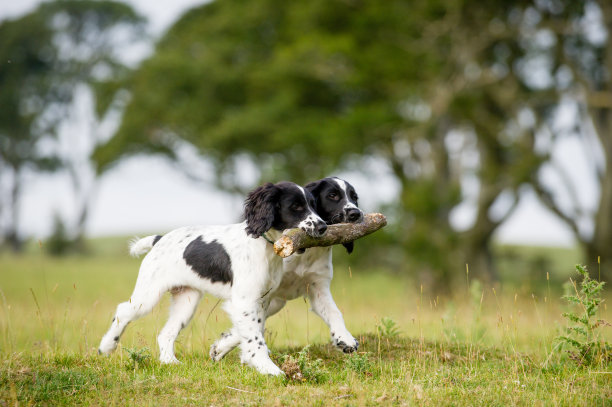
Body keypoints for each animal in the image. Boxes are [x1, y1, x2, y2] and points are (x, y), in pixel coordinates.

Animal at [98, 182, 328, 376]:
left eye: (313, 205)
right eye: (296, 206)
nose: (323, 227)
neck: (263, 247)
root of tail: (160, 239)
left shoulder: (262, 300)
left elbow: (253, 332)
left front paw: (242, 358)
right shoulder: (245, 302)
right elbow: (255, 338)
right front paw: (268, 368)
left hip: (186, 301)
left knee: (166, 333)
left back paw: (170, 362)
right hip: (148, 295)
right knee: (123, 311)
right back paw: (106, 347)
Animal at [209, 177, 364, 362]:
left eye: (354, 197)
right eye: (332, 195)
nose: (356, 213)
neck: (305, 252)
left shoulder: (317, 286)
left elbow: (334, 311)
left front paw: (345, 339)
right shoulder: (264, 293)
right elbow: (251, 321)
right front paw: (224, 347)